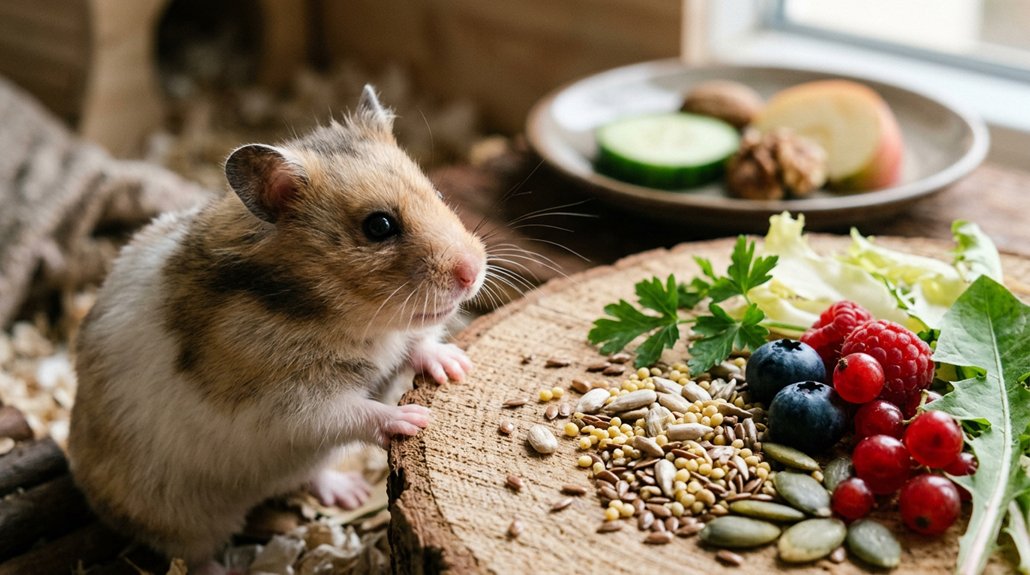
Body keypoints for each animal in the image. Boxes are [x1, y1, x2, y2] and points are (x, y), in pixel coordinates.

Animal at [67, 85, 486, 566]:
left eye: (436, 192)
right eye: (379, 226)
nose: (473, 272)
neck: (348, 317)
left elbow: (418, 344)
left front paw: (456, 365)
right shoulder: (284, 403)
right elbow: (352, 411)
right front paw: (414, 419)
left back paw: (348, 492)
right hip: (179, 521)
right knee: (193, 557)